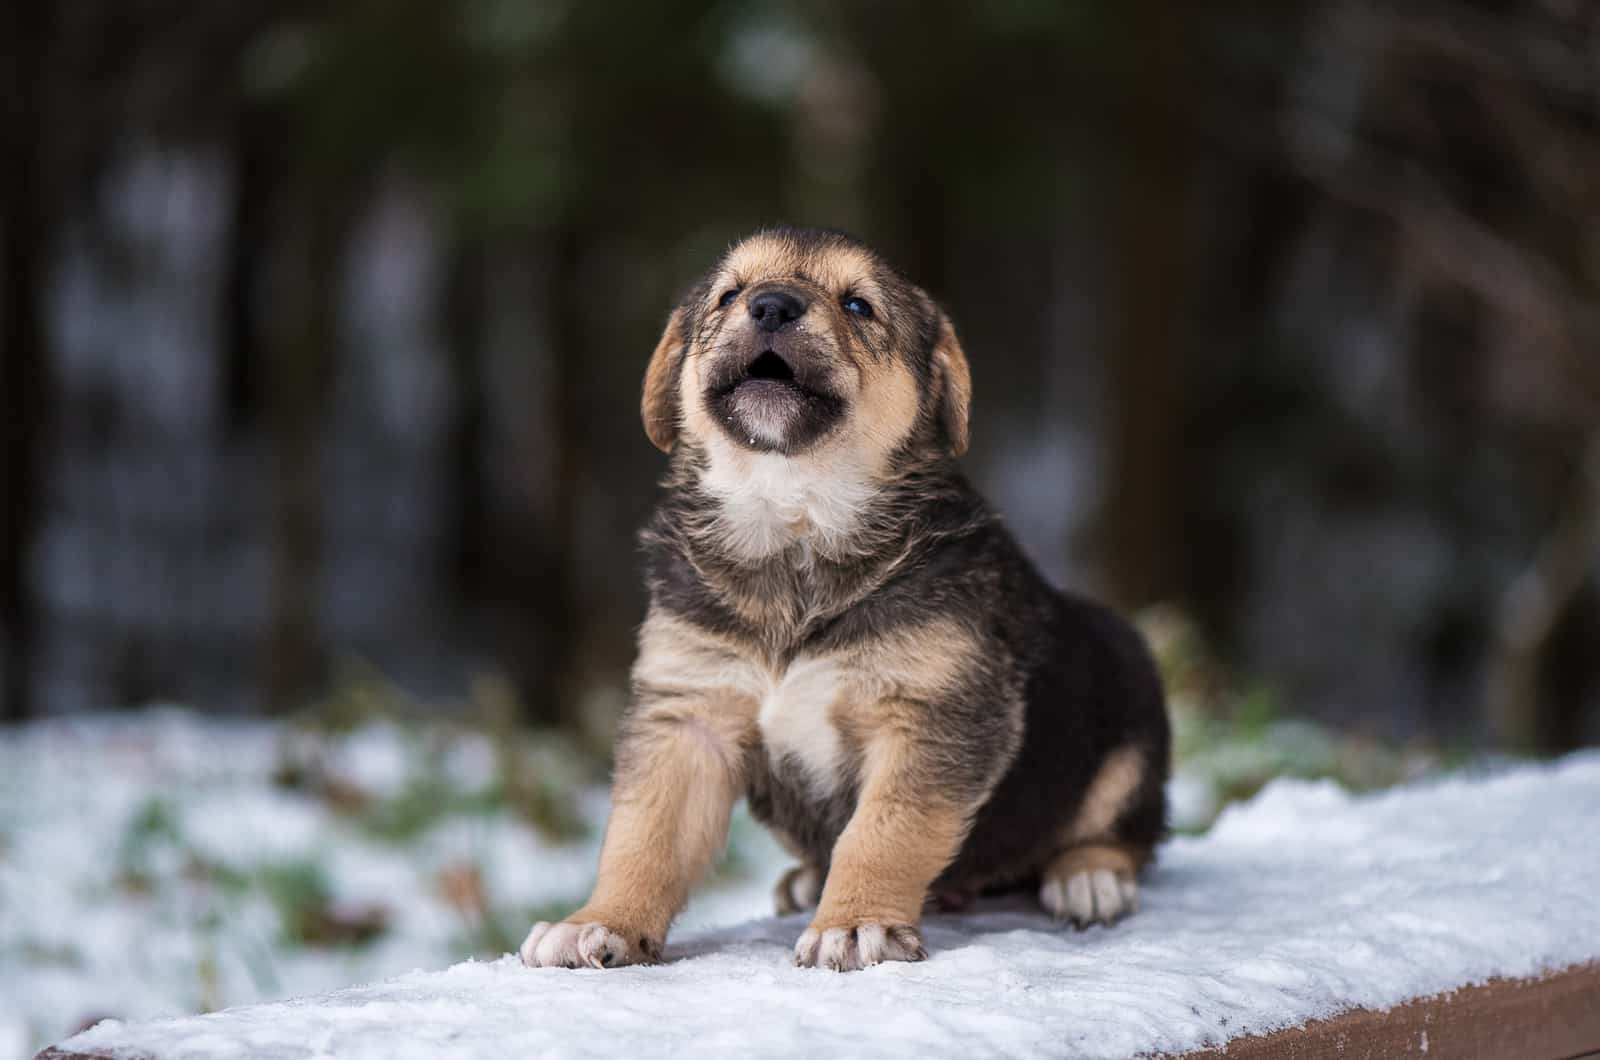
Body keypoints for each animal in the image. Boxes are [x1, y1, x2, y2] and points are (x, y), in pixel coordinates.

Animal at [518, 228, 1171, 973]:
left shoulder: (932, 715)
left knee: (1128, 832)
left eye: (859, 305)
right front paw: (598, 922)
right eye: (729, 294)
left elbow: (885, 830)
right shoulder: (687, 715)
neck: (795, 522)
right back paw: (807, 880)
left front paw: (855, 924)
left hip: (1130, 702)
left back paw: (1089, 876)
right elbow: (643, 833)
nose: (771, 305)